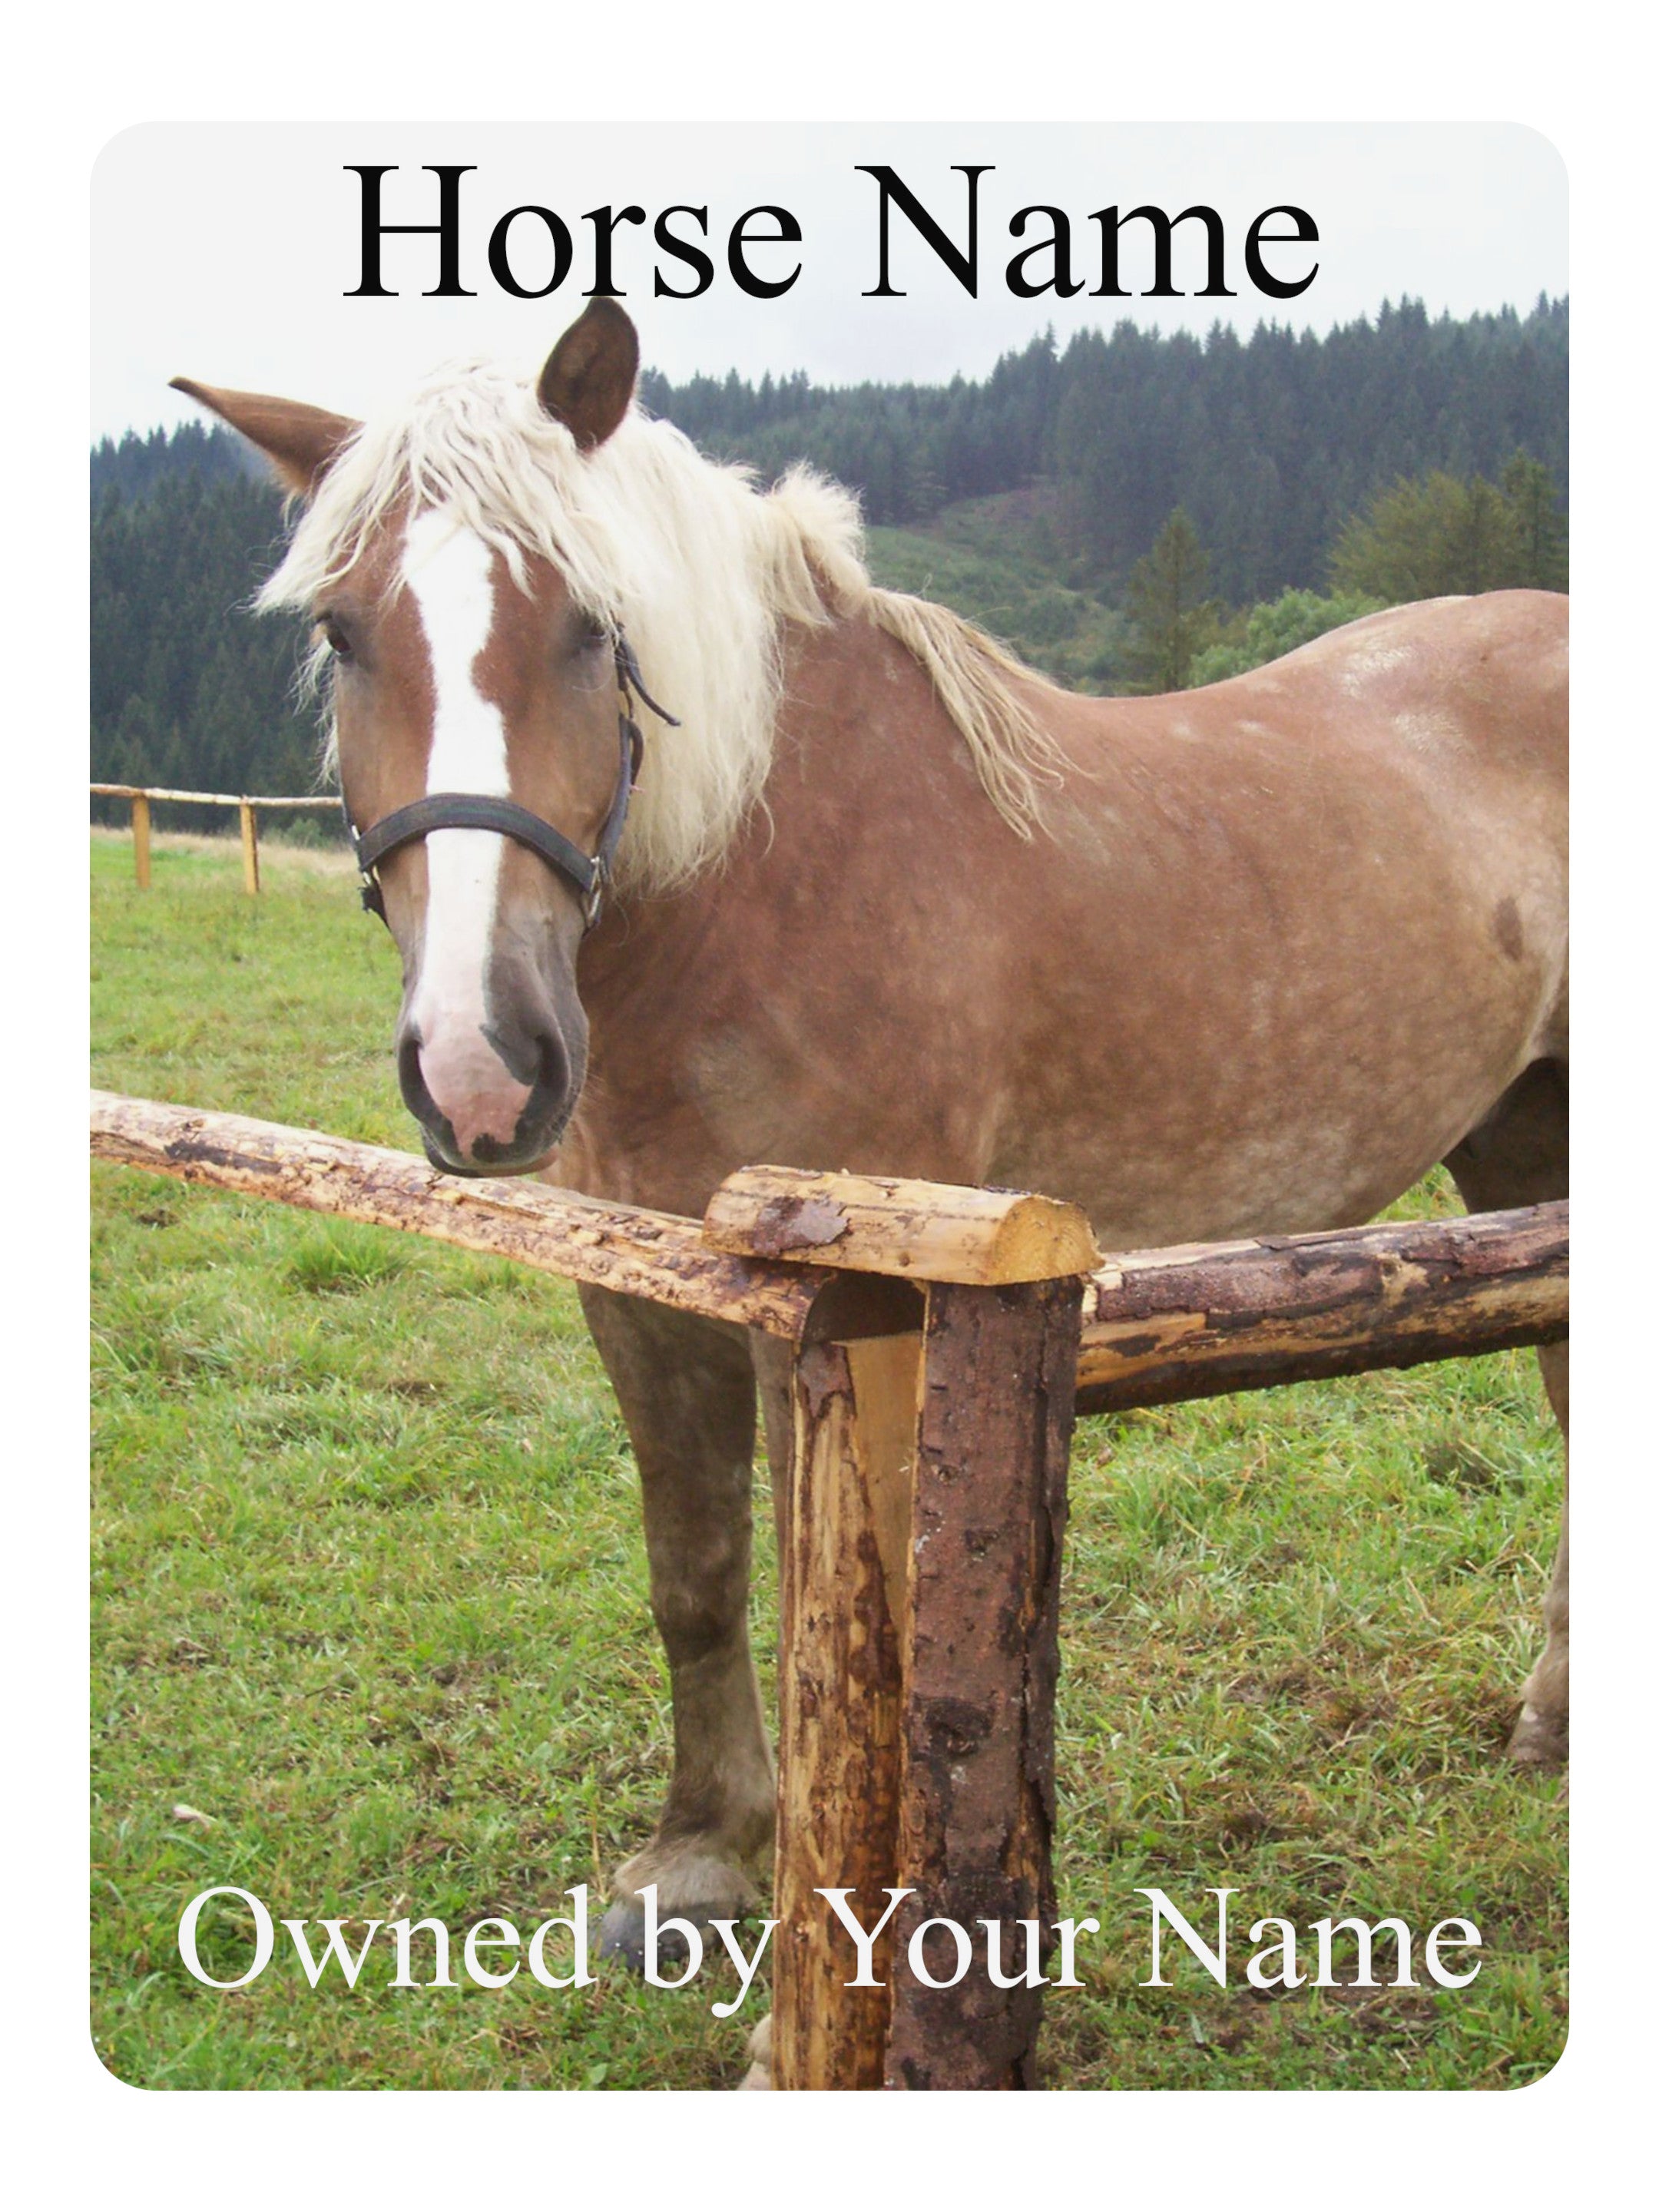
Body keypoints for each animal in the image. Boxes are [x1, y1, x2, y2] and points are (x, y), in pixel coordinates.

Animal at [173, 295, 1569, 1984]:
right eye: (342, 634)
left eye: (595, 627)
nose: (480, 1065)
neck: (762, 878)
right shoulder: (642, 1293)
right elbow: (696, 1574)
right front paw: (699, 1859)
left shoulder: (865, 1319)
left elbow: (855, 1616)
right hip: (1520, 1152)